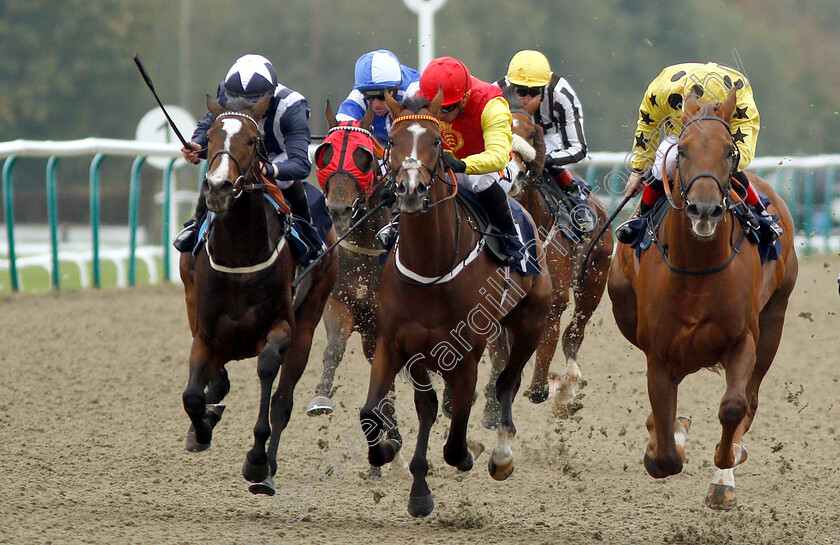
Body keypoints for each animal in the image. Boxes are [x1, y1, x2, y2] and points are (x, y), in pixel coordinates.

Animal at [180, 94, 338, 498]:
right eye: (212, 137)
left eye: (252, 141)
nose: (218, 187)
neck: (240, 255)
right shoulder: (205, 333)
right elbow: (193, 396)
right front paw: (201, 430)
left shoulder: (281, 328)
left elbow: (268, 374)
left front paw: (256, 458)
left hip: (309, 319)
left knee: (283, 400)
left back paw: (266, 471)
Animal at [358, 91, 556, 516]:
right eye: (392, 141)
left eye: (436, 142)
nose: (410, 190)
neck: (431, 265)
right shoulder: (396, 344)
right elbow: (378, 411)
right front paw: (394, 461)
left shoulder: (466, 355)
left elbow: (455, 440)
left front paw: (470, 452)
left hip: (531, 321)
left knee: (507, 381)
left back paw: (500, 453)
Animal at [608, 87, 796, 508]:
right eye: (683, 150)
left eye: (729, 151)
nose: (705, 209)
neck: (696, 270)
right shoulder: (659, 353)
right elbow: (665, 447)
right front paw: (664, 442)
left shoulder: (743, 339)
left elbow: (734, 406)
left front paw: (725, 467)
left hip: (774, 323)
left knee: (751, 399)